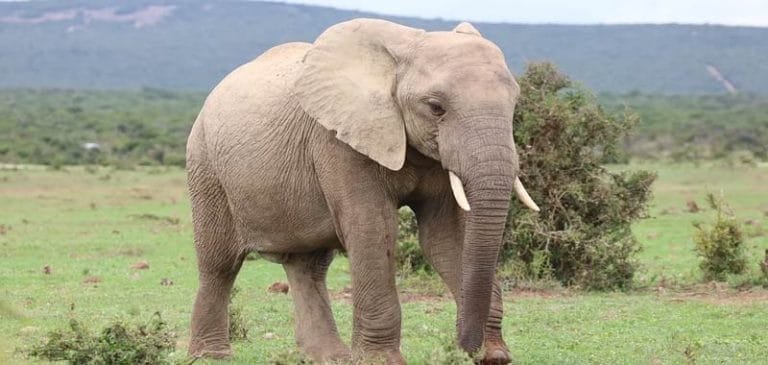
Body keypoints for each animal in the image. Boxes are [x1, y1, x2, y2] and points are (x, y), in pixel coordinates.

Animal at [184, 17, 540, 364]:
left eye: (515, 103)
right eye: (436, 107)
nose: (465, 349)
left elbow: (446, 237)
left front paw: (495, 355)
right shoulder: (338, 140)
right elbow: (374, 229)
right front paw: (380, 360)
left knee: (308, 267)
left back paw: (329, 356)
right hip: (204, 163)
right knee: (220, 263)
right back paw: (210, 355)